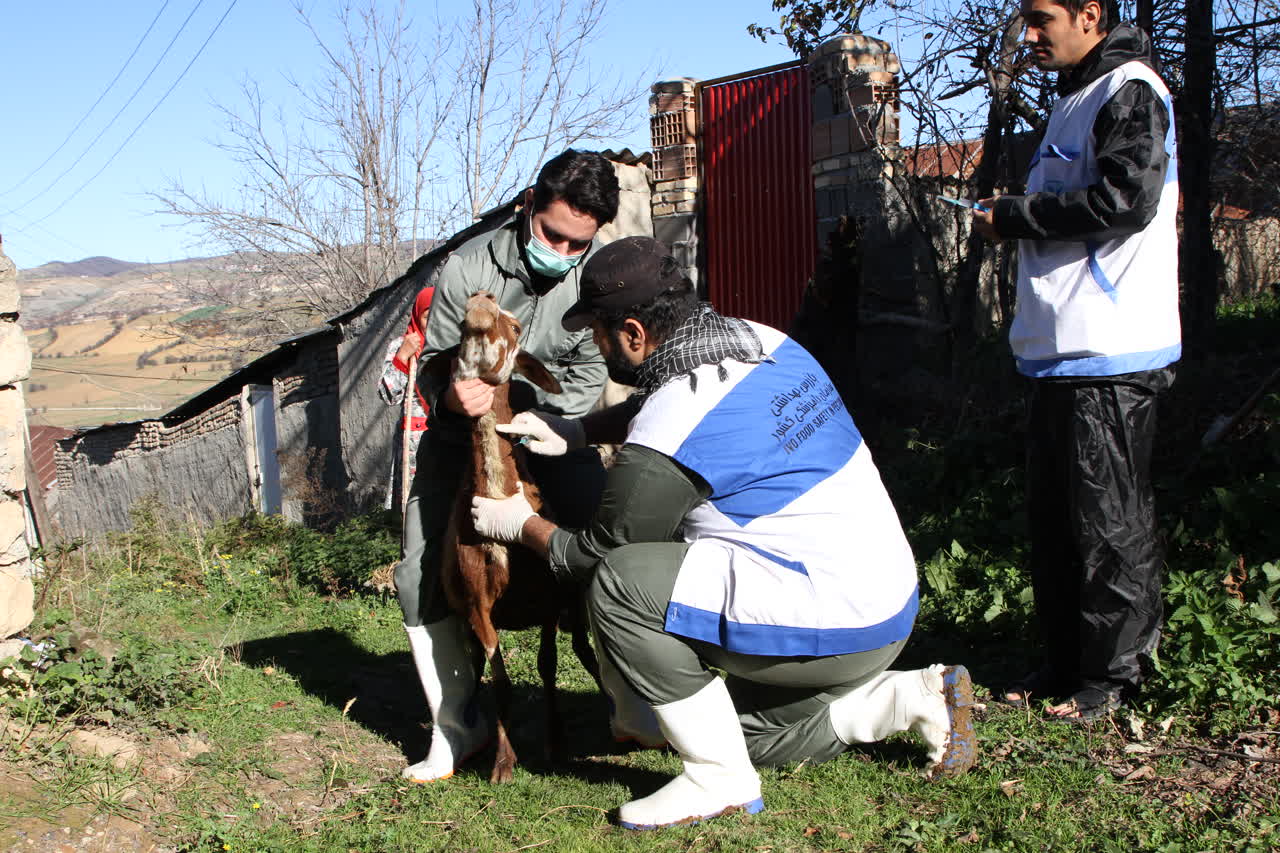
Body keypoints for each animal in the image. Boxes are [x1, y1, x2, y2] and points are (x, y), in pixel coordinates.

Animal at [422, 289, 596, 778]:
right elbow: (499, 679)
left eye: (515, 325)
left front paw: (556, 744)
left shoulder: (549, 599)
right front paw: (503, 761)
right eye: (461, 326)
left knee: (584, 649)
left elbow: (548, 665)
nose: (482, 299)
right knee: (473, 670)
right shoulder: (476, 603)